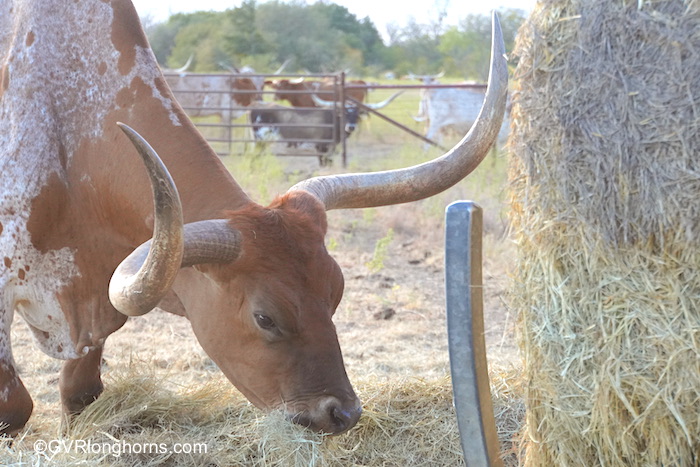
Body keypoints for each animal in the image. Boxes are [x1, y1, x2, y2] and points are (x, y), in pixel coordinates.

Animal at [0, 0, 506, 438]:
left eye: (336, 294)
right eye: (265, 318)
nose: (342, 413)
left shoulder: (99, 295)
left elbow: (79, 393)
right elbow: (15, 408)